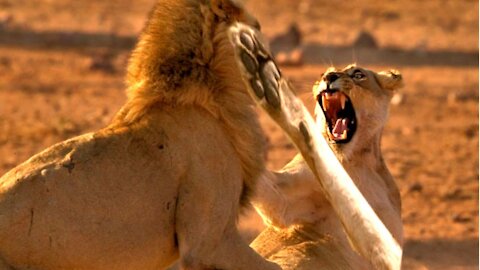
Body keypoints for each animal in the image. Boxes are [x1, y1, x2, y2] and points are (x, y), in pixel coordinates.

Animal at [231, 24, 404, 268]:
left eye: (358, 74)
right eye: (323, 74)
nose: (329, 77)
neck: (349, 160)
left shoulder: (387, 240)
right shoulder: (285, 198)